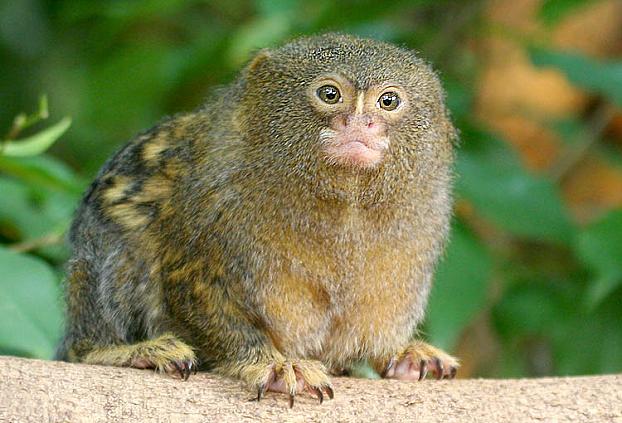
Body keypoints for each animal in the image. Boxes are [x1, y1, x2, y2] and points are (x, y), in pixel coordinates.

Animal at [57, 34, 458, 408]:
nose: (361, 123)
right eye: (330, 94)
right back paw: (117, 350)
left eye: (388, 101)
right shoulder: (212, 208)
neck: (344, 204)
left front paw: (400, 352)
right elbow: (198, 293)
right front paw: (272, 362)